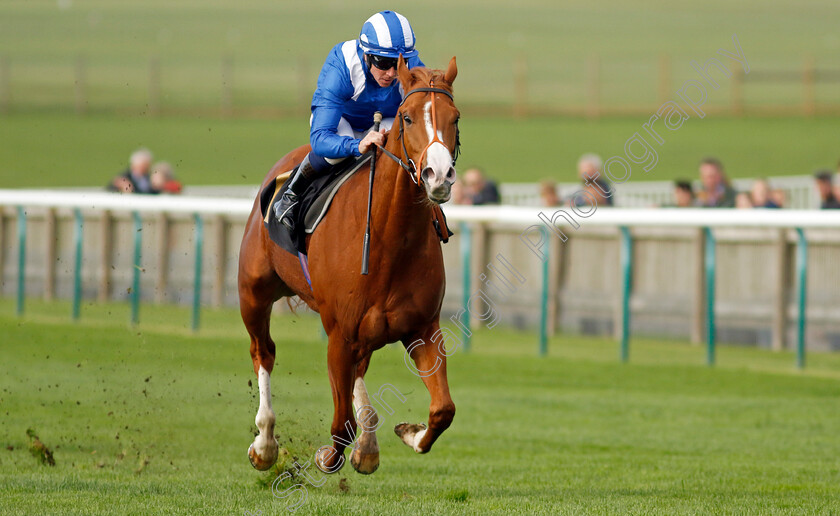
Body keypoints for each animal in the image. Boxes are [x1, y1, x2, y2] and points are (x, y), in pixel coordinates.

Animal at [236, 56, 460, 476]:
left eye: (454, 117)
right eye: (406, 117)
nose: (438, 175)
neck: (391, 237)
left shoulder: (422, 328)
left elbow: (443, 410)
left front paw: (409, 433)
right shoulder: (339, 333)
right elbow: (341, 426)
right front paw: (326, 455)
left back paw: (368, 446)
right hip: (253, 293)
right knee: (264, 351)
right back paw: (265, 444)